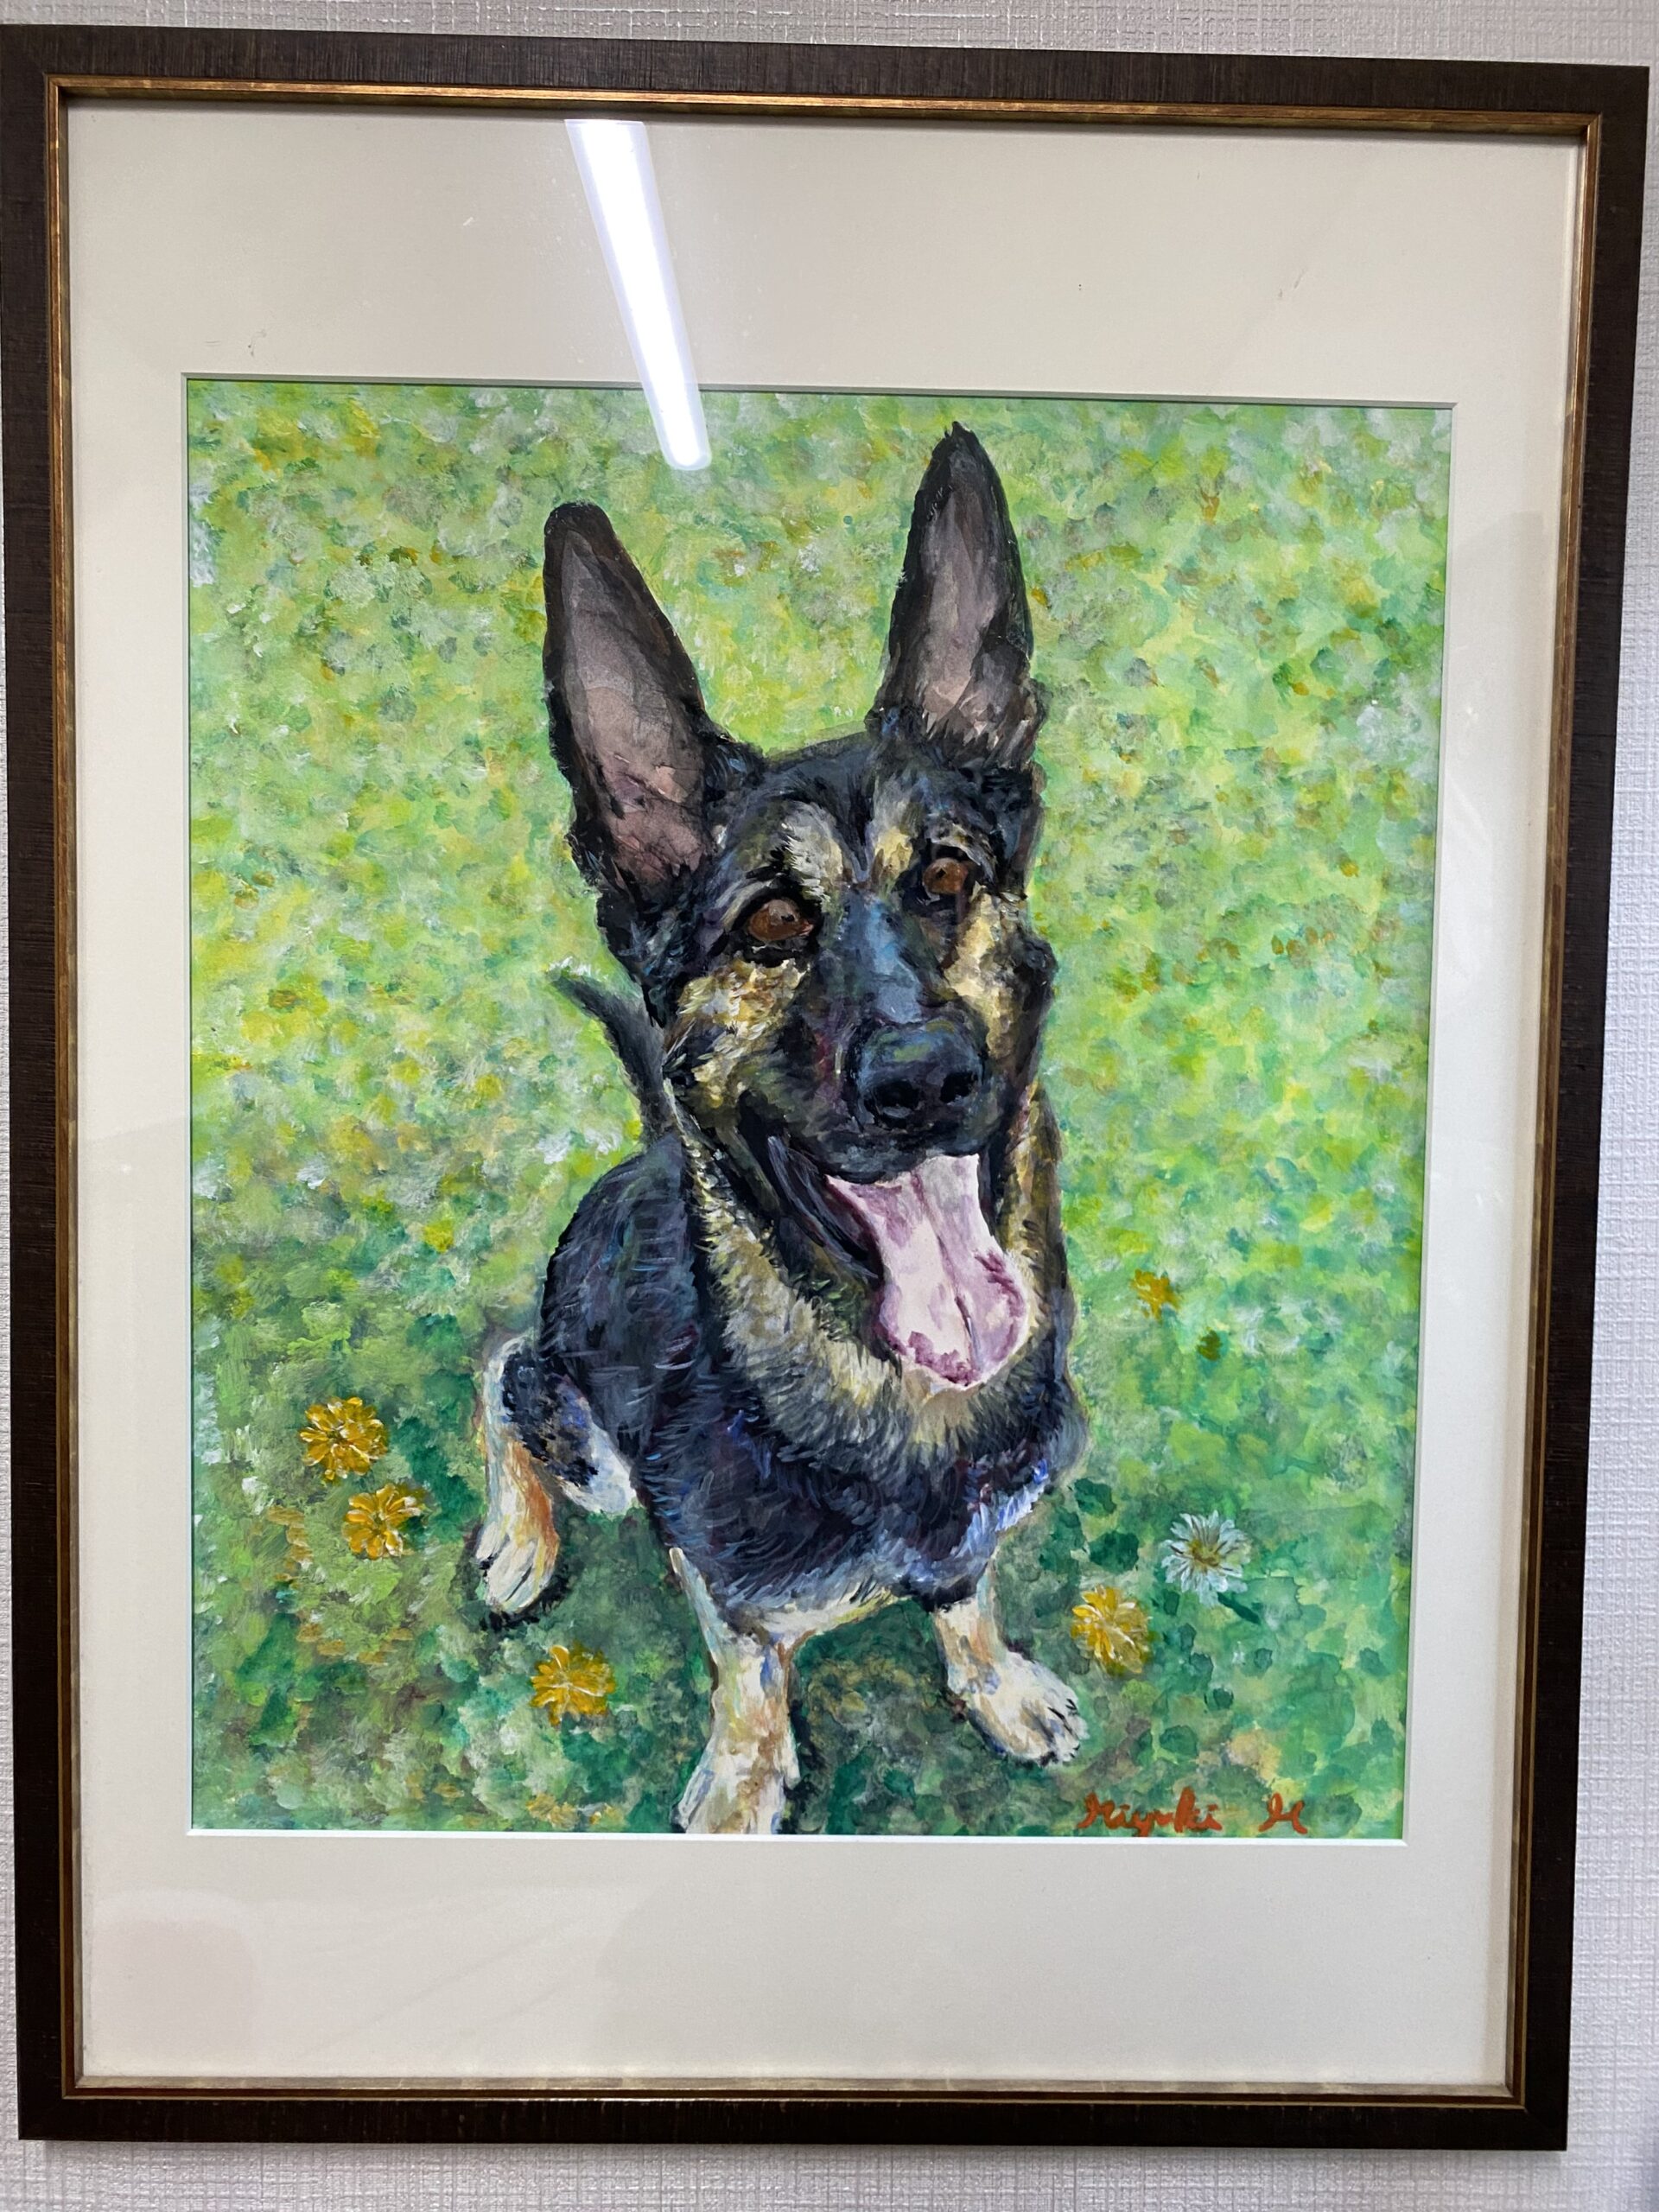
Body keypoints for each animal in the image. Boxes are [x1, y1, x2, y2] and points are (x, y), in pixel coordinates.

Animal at [475, 424, 1088, 1834]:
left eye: (948, 878)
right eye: (767, 926)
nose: (925, 1079)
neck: (893, 1397)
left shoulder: (974, 1540)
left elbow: (967, 1599)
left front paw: (995, 1684)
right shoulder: (730, 1592)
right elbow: (750, 1671)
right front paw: (747, 1784)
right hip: (590, 1437)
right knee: (504, 1375)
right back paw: (517, 1540)